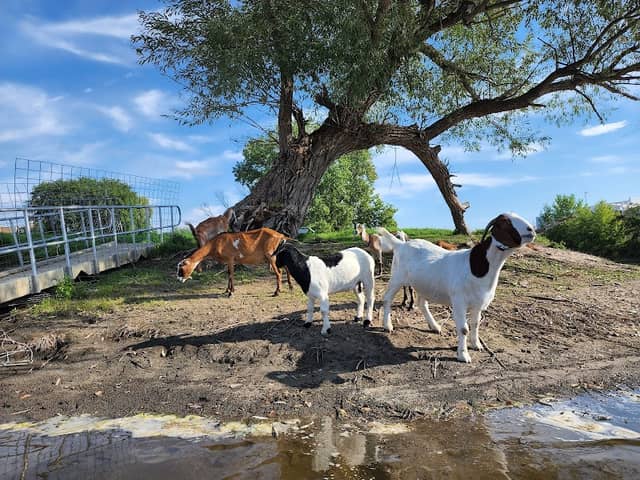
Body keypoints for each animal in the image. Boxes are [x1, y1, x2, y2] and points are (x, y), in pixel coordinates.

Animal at [378, 213, 536, 363]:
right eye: (505, 222)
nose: (531, 230)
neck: (477, 267)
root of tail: (400, 244)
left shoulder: (478, 303)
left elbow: (475, 324)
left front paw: (476, 345)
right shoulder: (459, 301)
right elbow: (463, 329)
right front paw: (463, 355)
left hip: (424, 284)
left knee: (422, 304)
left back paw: (435, 326)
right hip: (397, 276)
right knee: (387, 298)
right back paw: (388, 326)